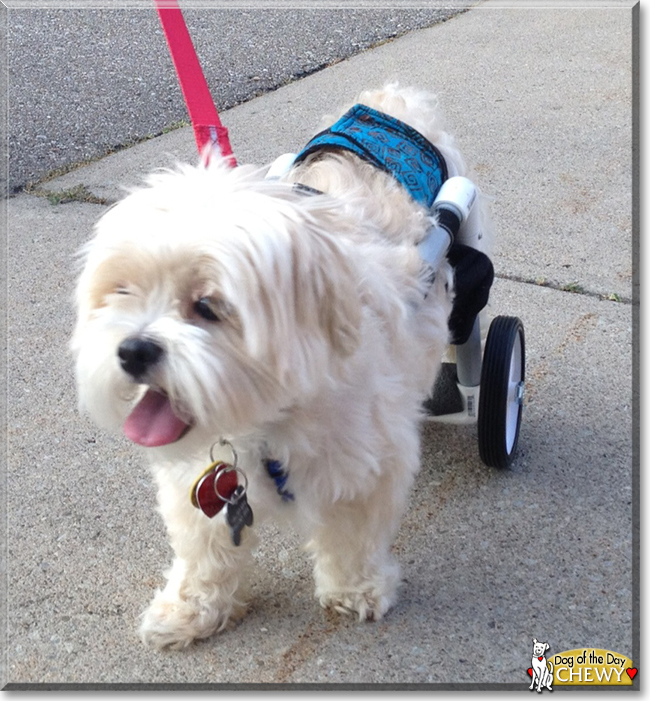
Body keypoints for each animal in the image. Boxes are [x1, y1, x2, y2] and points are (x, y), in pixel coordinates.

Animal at [71, 85, 492, 648]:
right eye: (122, 291)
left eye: (207, 306)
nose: (133, 351)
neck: (267, 417)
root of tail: (387, 101)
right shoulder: (200, 487)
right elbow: (204, 552)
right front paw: (192, 608)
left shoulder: (365, 465)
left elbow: (353, 537)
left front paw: (355, 589)